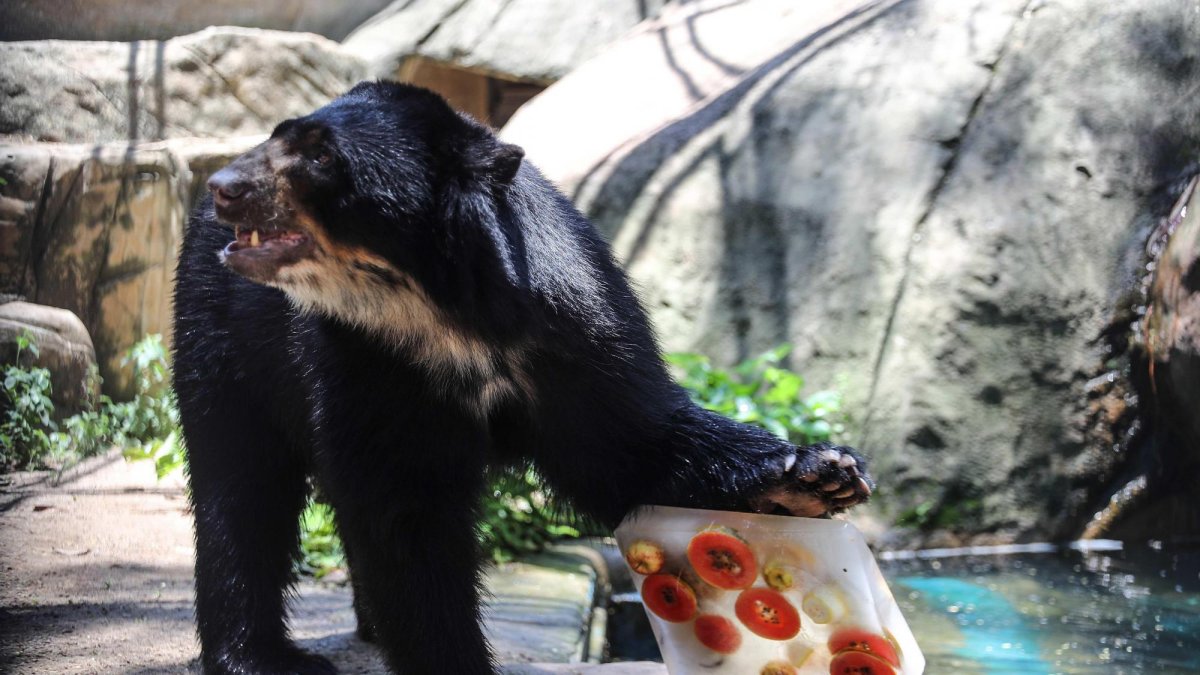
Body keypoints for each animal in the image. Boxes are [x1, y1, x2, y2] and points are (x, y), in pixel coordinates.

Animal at [172, 81, 873, 674]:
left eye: (319, 155)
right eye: (280, 136)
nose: (225, 185)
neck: (444, 314)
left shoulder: (577, 332)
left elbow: (626, 446)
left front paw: (817, 478)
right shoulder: (366, 359)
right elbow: (404, 514)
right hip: (223, 340)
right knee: (240, 488)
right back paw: (263, 657)